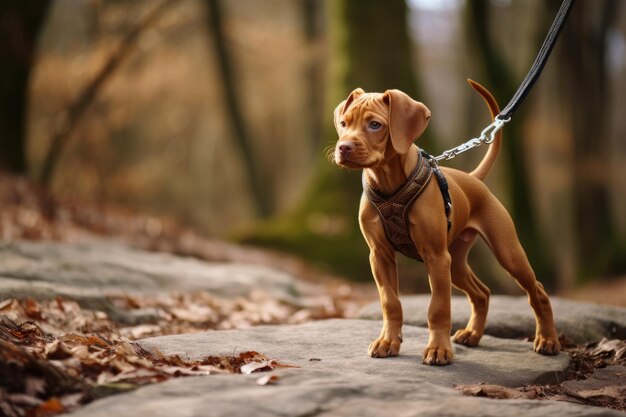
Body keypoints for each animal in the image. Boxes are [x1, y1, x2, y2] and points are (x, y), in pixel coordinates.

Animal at [334, 80, 560, 364]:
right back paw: (472, 334)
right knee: (481, 293)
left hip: (505, 253)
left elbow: (439, 308)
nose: (343, 147)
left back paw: (548, 340)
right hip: (456, 261)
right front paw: (387, 341)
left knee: (537, 291)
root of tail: (473, 178)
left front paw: (438, 349)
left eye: (375, 125)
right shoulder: (379, 255)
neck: (389, 184)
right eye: (343, 123)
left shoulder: (436, 257)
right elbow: (390, 302)